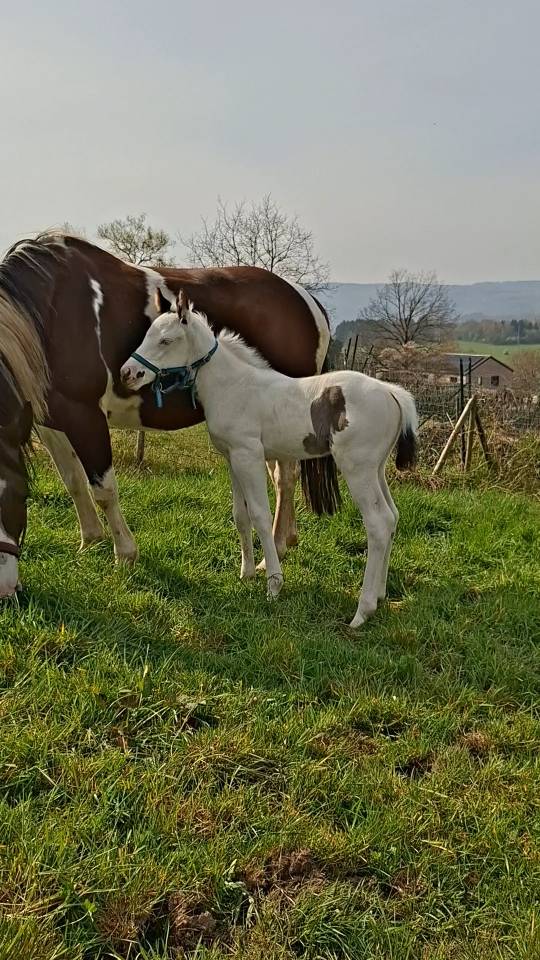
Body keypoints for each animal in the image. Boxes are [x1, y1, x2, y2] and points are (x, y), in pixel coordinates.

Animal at [0, 233, 332, 569]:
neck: (49, 313)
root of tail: (308, 302)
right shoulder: (51, 423)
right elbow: (73, 481)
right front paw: (90, 541)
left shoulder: (85, 416)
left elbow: (104, 489)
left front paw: (124, 554)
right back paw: (287, 539)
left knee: (285, 477)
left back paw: (274, 549)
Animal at [121, 294, 418, 628]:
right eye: (148, 334)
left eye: (166, 340)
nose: (127, 373)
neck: (234, 386)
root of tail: (393, 393)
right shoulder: (232, 458)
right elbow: (240, 515)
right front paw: (246, 573)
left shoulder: (248, 455)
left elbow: (261, 516)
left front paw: (274, 584)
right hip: (377, 470)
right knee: (392, 517)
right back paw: (379, 595)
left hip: (358, 470)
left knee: (378, 523)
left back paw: (362, 611)